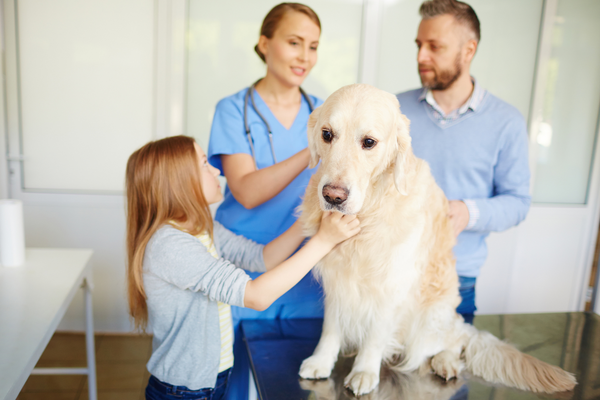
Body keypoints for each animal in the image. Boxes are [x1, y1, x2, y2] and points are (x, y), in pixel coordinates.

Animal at [298, 84, 580, 396]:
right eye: (326, 134)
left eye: (369, 142)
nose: (333, 196)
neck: (371, 210)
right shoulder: (337, 279)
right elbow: (331, 327)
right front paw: (321, 361)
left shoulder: (392, 284)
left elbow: (375, 335)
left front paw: (364, 371)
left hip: (431, 319)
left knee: (453, 343)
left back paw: (446, 362)